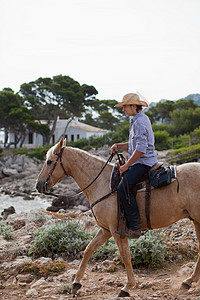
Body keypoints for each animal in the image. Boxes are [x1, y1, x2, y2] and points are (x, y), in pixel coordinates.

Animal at [35, 138, 200, 298]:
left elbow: (125, 256)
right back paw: (188, 281)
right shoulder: (105, 229)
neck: (102, 183)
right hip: (196, 221)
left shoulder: (117, 230)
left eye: (49, 161)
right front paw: (76, 283)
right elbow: (89, 249)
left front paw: (128, 287)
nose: (38, 185)